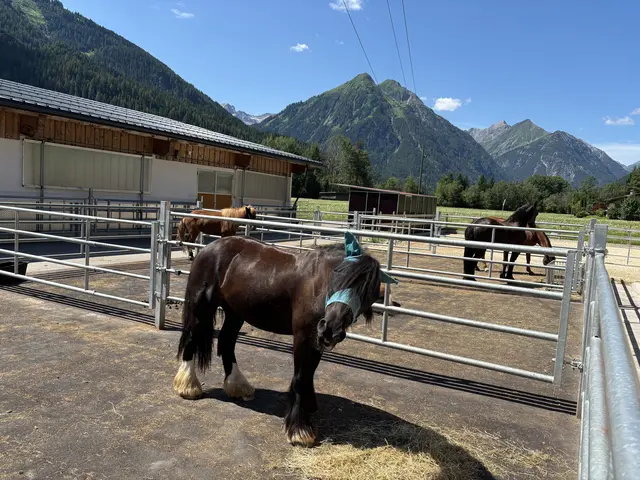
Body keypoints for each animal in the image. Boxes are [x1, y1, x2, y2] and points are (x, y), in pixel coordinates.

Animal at [172, 231, 397, 447]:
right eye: (339, 274)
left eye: (367, 291)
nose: (330, 328)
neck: (317, 284)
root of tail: (208, 248)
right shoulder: (304, 337)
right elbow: (300, 378)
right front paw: (299, 430)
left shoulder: (316, 340)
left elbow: (308, 374)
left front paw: (309, 405)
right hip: (201, 308)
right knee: (191, 340)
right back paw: (188, 386)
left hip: (235, 313)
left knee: (227, 341)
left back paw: (238, 386)